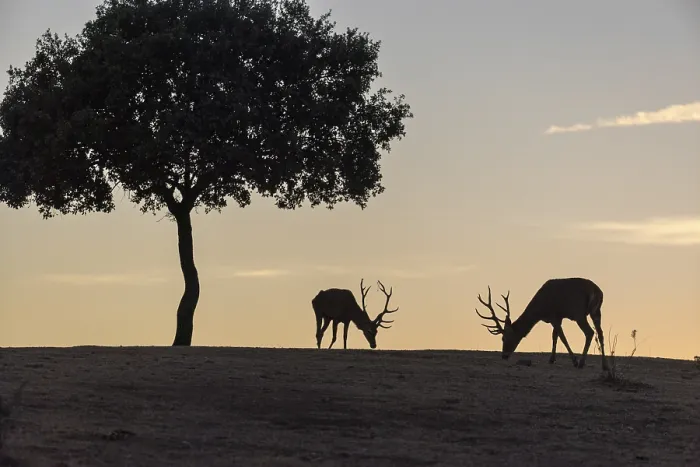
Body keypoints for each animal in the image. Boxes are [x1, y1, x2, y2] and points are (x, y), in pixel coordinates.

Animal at [475, 277, 609, 371]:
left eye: (504, 338)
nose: (504, 356)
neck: (540, 310)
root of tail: (597, 291)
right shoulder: (559, 317)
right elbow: (554, 336)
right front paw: (551, 359)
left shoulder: (553, 315)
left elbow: (562, 337)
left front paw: (574, 361)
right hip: (596, 311)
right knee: (601, 333)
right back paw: (605, 366)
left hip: (578, 312)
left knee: (590, 332)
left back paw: (581, 363)